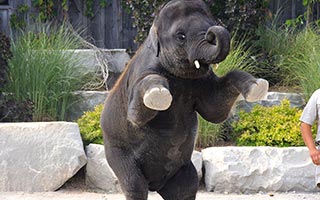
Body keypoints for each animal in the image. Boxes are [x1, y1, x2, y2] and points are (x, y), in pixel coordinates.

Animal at [100, 0, 268, 200]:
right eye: (181, 36)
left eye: (211, 22)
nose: (213, 32)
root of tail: (155, 185)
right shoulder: (139, 76)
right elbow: (136, 117)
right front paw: (159, 92)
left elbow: (216, 112)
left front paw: (258, 86)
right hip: (118, 153)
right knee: (135, 186)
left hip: (182, 170)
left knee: (186, 188)